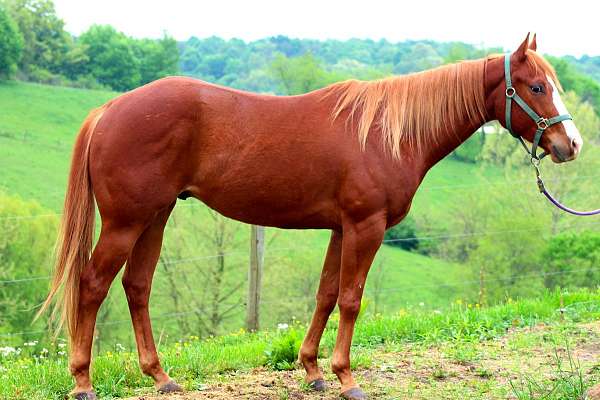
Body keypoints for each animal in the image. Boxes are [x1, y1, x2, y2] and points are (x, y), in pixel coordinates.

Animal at [38, 35, 580, 400]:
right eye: (536, 86)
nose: (570, 144)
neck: (386, 132)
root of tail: (109, 109)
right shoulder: (366, 227)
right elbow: (351, 300)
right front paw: (346, 378)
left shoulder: (342, 229)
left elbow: (325, 295)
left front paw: (314, 370)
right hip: (126, 222)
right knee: (92, 285)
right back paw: (83, 381)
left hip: (156, 216)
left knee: (137, 286)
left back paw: (161, 376)